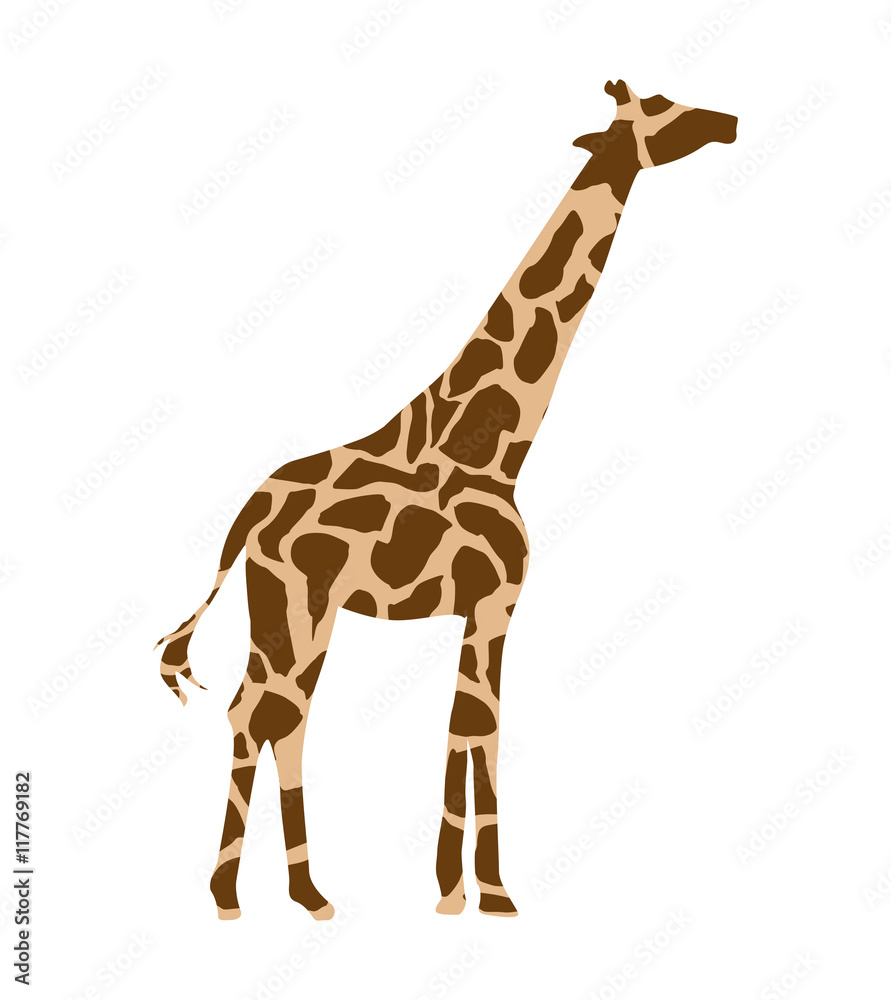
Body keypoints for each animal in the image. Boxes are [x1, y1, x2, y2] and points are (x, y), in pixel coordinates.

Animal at [157, 81, 737, 921]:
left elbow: (463, 729)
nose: (728, 122)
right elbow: (480, 729)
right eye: (662, 106)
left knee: (271, 715)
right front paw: (490, 894)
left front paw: (452, 890)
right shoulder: (497, 601)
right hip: (297, 607)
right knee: (267, 714)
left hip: (291, 612)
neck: (490, 444)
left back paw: (297, 892)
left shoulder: (476, 608)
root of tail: (247, 514)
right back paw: (240, 894)